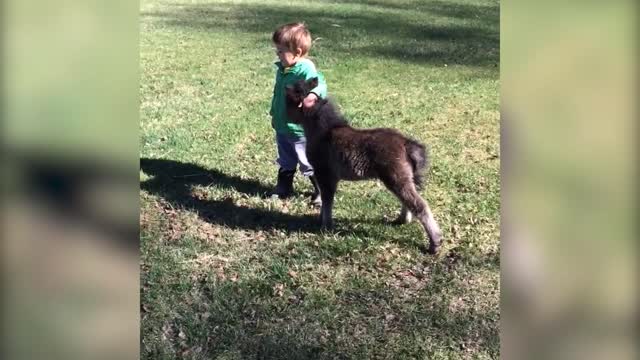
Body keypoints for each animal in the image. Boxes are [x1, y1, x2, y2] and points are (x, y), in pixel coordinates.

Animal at [286, 78, 442, 253]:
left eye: (289, 100)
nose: (286, 117)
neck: (324, 131)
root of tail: (405, 143)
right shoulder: (330, 177)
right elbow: (326, 200)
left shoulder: (325, 175)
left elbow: (327, 200)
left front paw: (325, 226)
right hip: (401, 178)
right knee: (408, 200)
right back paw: (402, 220)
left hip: (396, 177)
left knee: (419, 205)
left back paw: (435, 243)